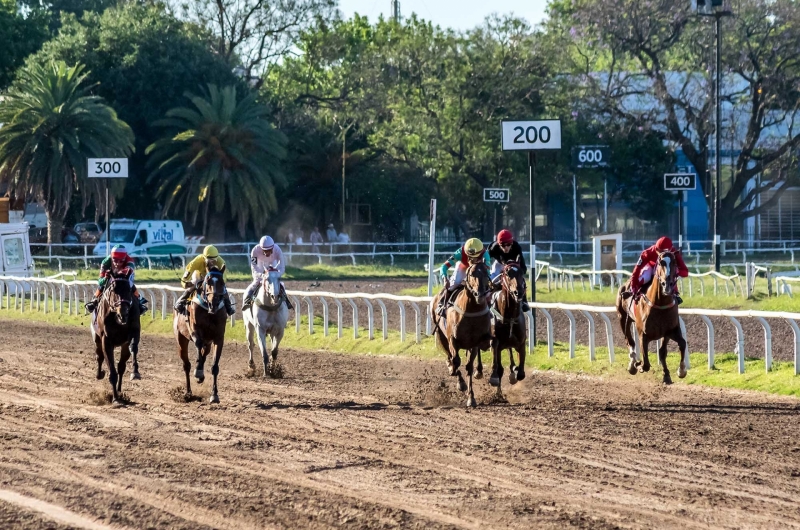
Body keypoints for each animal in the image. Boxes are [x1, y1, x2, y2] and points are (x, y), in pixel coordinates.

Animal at [90, 268, 141, 404]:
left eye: (129, 289)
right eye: (113, 290)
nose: (123, 314)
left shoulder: (133, 332)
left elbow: (133, 348)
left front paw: (135, 372)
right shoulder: (106, 340)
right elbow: (111, 370)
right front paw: (115, 400)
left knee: (121, 366)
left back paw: (119, 389)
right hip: (97, 338)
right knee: (99, 356)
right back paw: (100, 374)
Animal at [173, 264, 228, 400]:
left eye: (222, 282)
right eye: (208, 281)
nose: (214, 303)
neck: (209, 312)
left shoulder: (218, 338)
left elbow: (215, 366)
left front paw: (214, 395)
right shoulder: (195, 331)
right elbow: (198, 343)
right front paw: (198, 372)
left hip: (208, 342)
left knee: (204, 353)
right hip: (181, 339)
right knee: (186, 365)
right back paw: (188, 391)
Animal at [432, 262, 494, 406]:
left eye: (486, 273)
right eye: (472, 274)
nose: (480, 294)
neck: (471, 309)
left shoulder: (475, 342)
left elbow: (469, 366)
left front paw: (471, 397)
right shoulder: (452, 339)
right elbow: (455, 360)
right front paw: (459, 381)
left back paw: (477, 372)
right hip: (441, 335)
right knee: (450, 355)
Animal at [484, 260, 528, 392]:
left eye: (522, 272)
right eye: (507, 273)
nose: (518, 292)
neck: (509, 317)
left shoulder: (521, 342)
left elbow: (521, 373)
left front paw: (514, 372)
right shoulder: (496, 343)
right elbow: (498, 369)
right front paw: (494, 379)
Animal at [620, 250, 688, 382]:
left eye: (675, 262)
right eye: (661, 262)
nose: (667, 284)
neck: (660, 303)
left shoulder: (670, 331)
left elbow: (679, 345)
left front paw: (678, 371)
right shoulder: (643, 335)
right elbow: (646, 363)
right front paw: (638, 365)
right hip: (623, 318)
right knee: (629, 341)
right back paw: (632, 364)